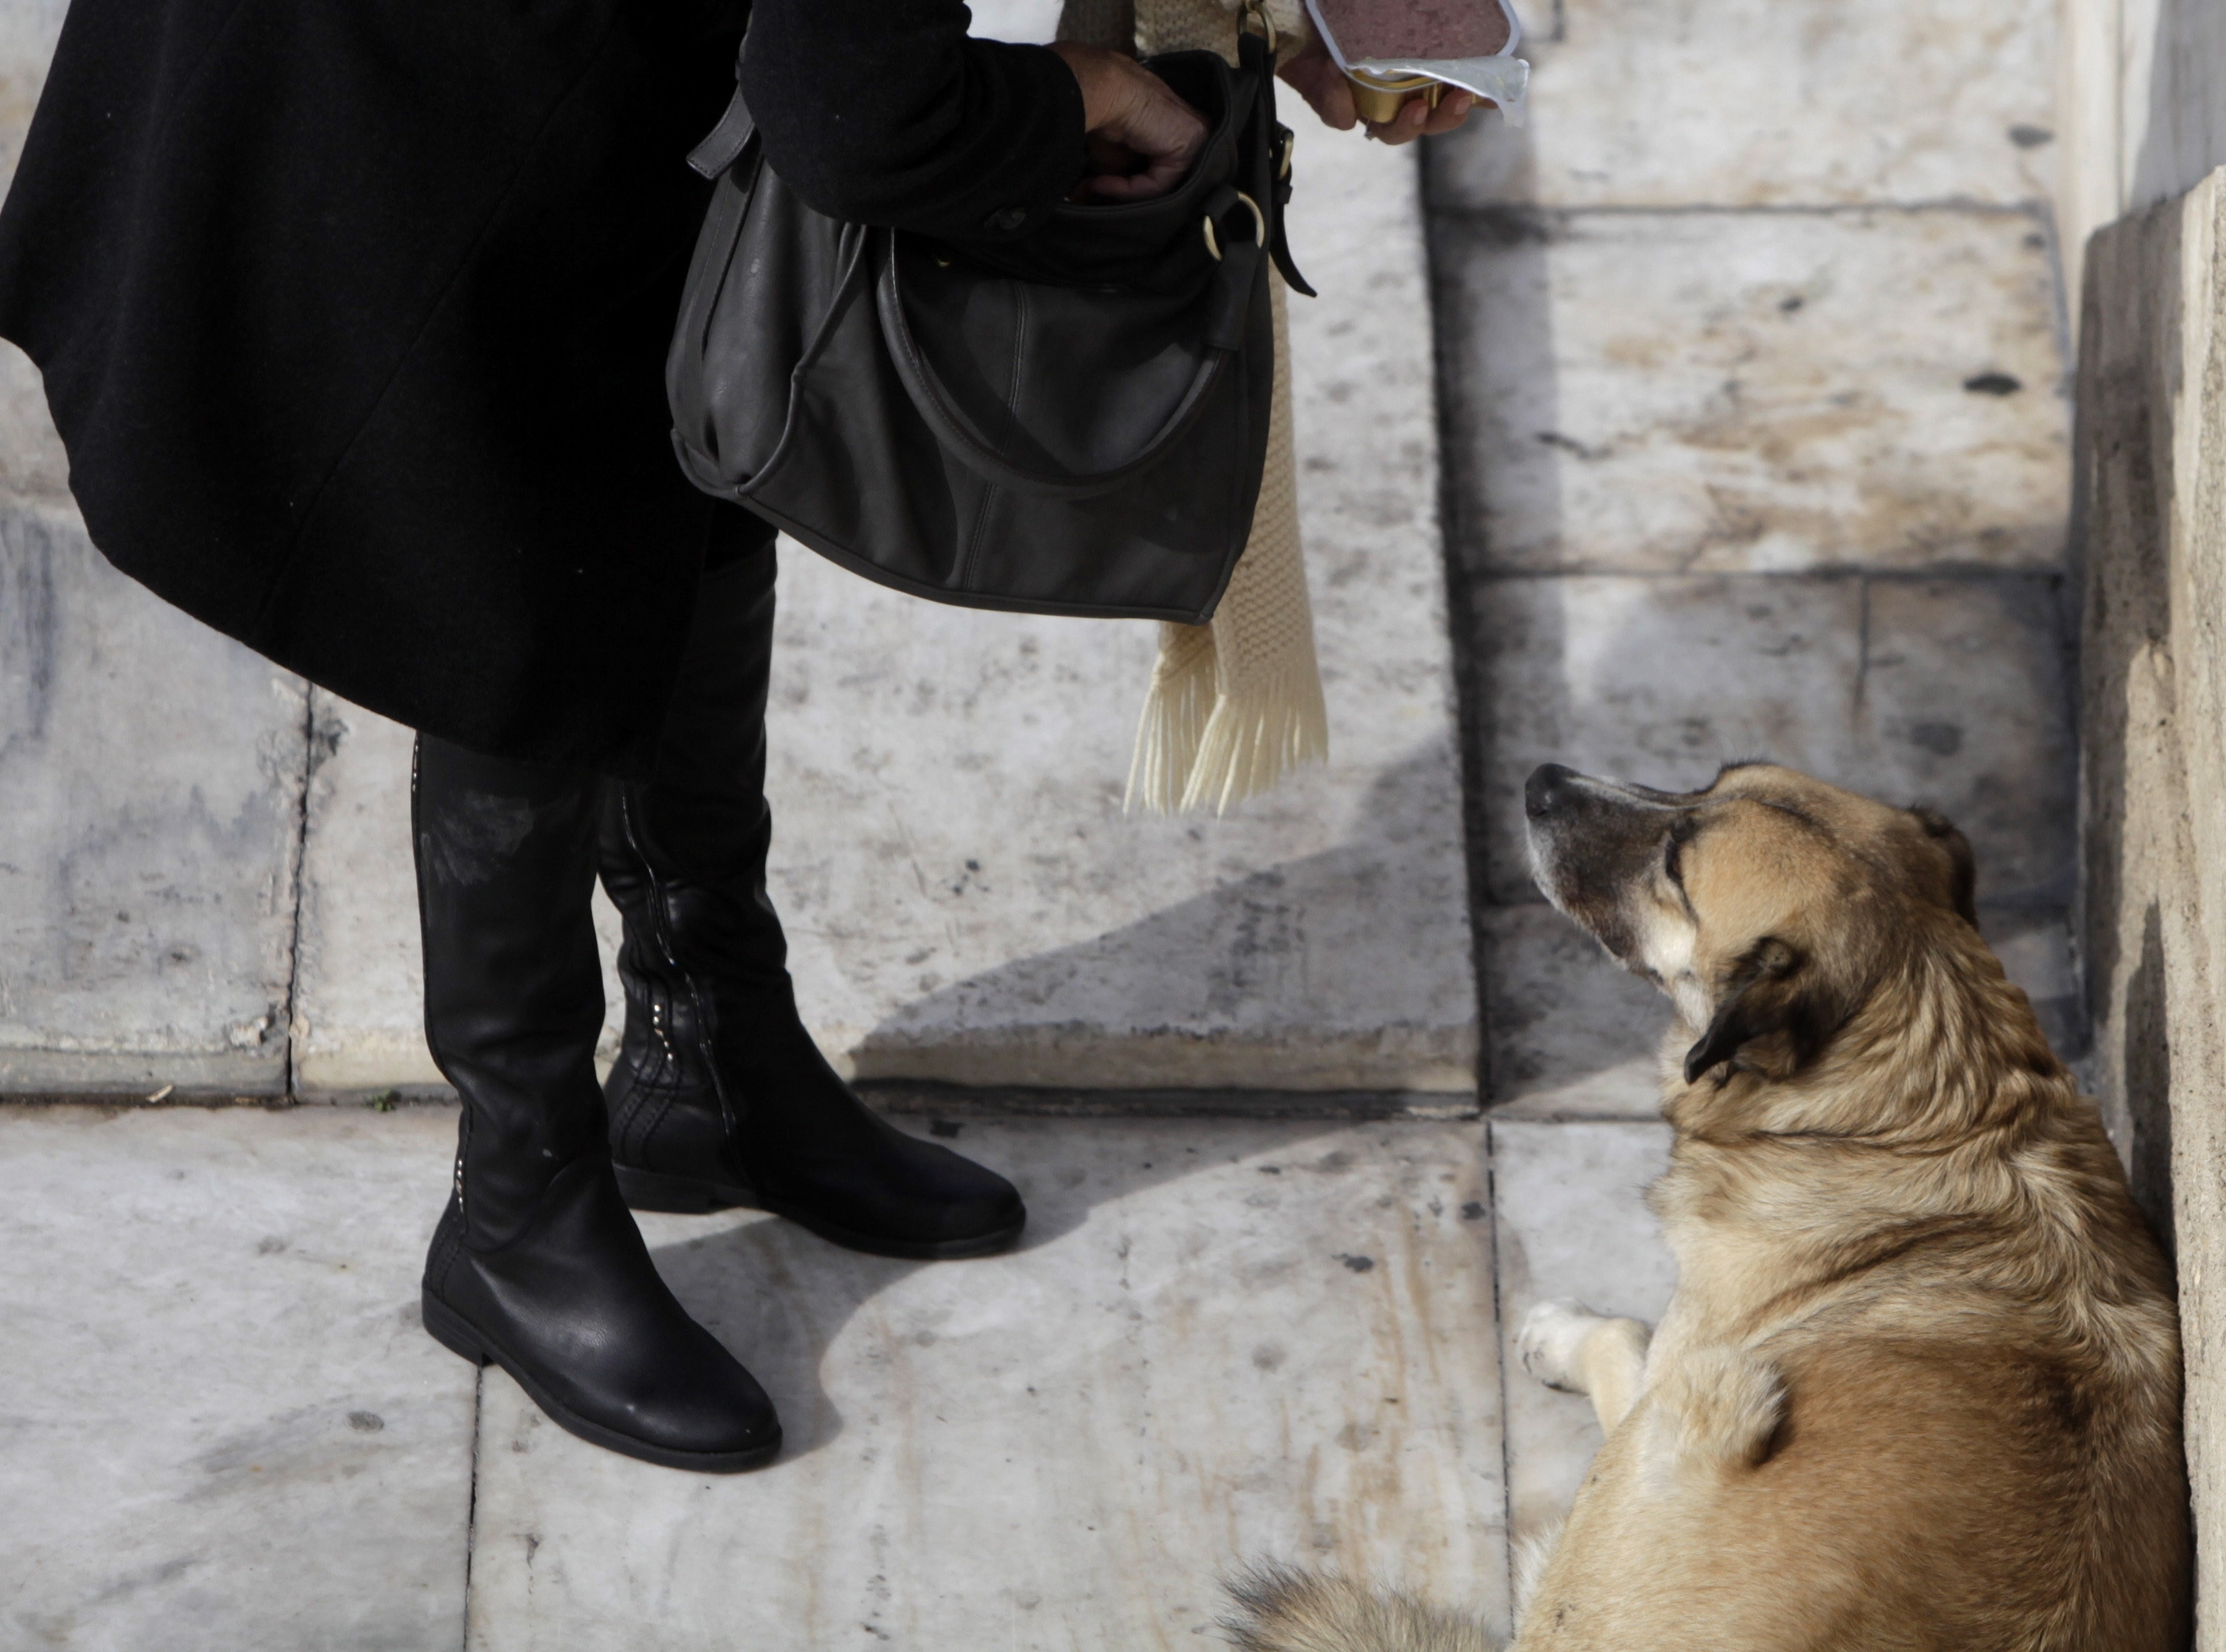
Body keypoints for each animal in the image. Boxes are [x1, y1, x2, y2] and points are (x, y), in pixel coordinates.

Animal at [1228, 770, 2181, 1652]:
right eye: (1707, 780)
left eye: (1676, 869)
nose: (1541, 780)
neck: (1924, 1108)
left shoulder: (1674, 1368)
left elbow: (1622, 1339)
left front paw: (1556, 1333)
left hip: (1699, 1409)